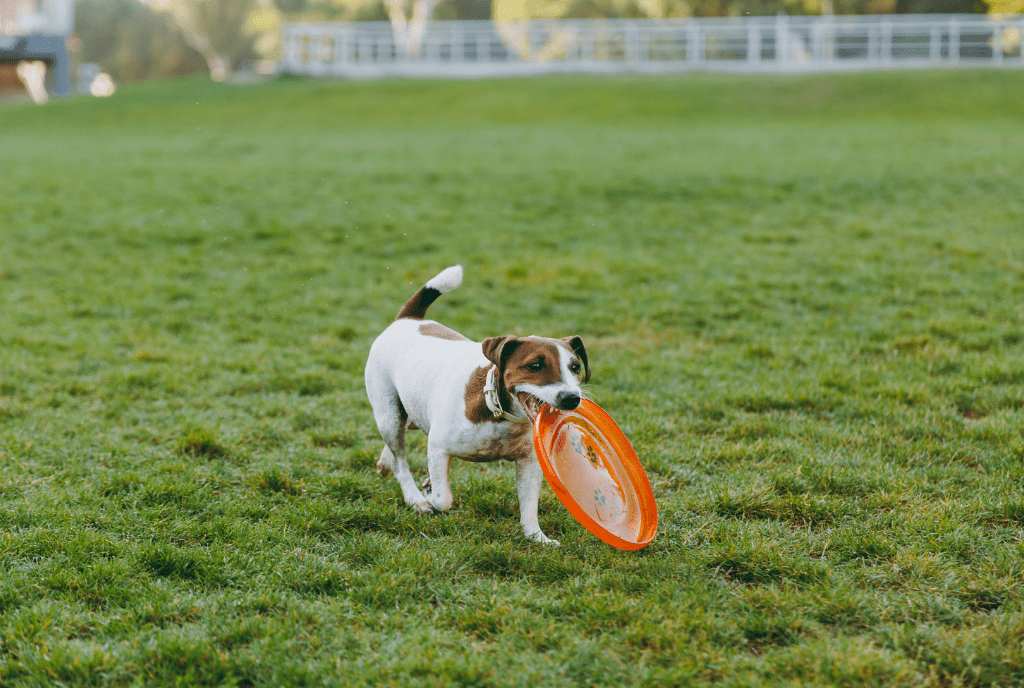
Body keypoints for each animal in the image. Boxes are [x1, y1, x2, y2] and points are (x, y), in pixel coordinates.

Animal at [366, 264, 593, 544]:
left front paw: (536, 536)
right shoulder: (438, 449)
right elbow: (443, 499)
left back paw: (384, 463)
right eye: (534, 365)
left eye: (575, 367)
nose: (572, 398)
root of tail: (409, 319)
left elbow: (529, 505)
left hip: (410, 413)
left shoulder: (529, 462)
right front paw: (428, 492)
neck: (499, 415)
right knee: (400, 459)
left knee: (398, 441)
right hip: (388, 414)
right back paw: (414, 497)